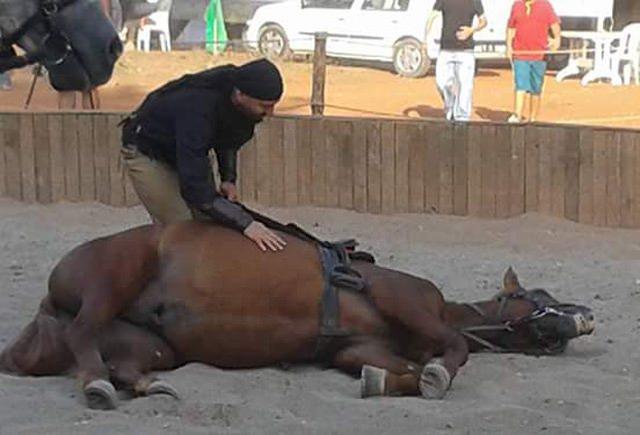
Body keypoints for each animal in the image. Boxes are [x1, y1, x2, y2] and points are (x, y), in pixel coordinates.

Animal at [0, 220, 596, 410]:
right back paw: (98, 386)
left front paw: (386, 382)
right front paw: (437, 373)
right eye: (538, 292)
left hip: (150, 343)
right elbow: (451, 350)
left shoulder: (357, 349)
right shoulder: (404, 297)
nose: (585, 315)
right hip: (112, 279)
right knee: (85, 336)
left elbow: (393, 370)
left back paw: (146, 386)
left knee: (119, 359)